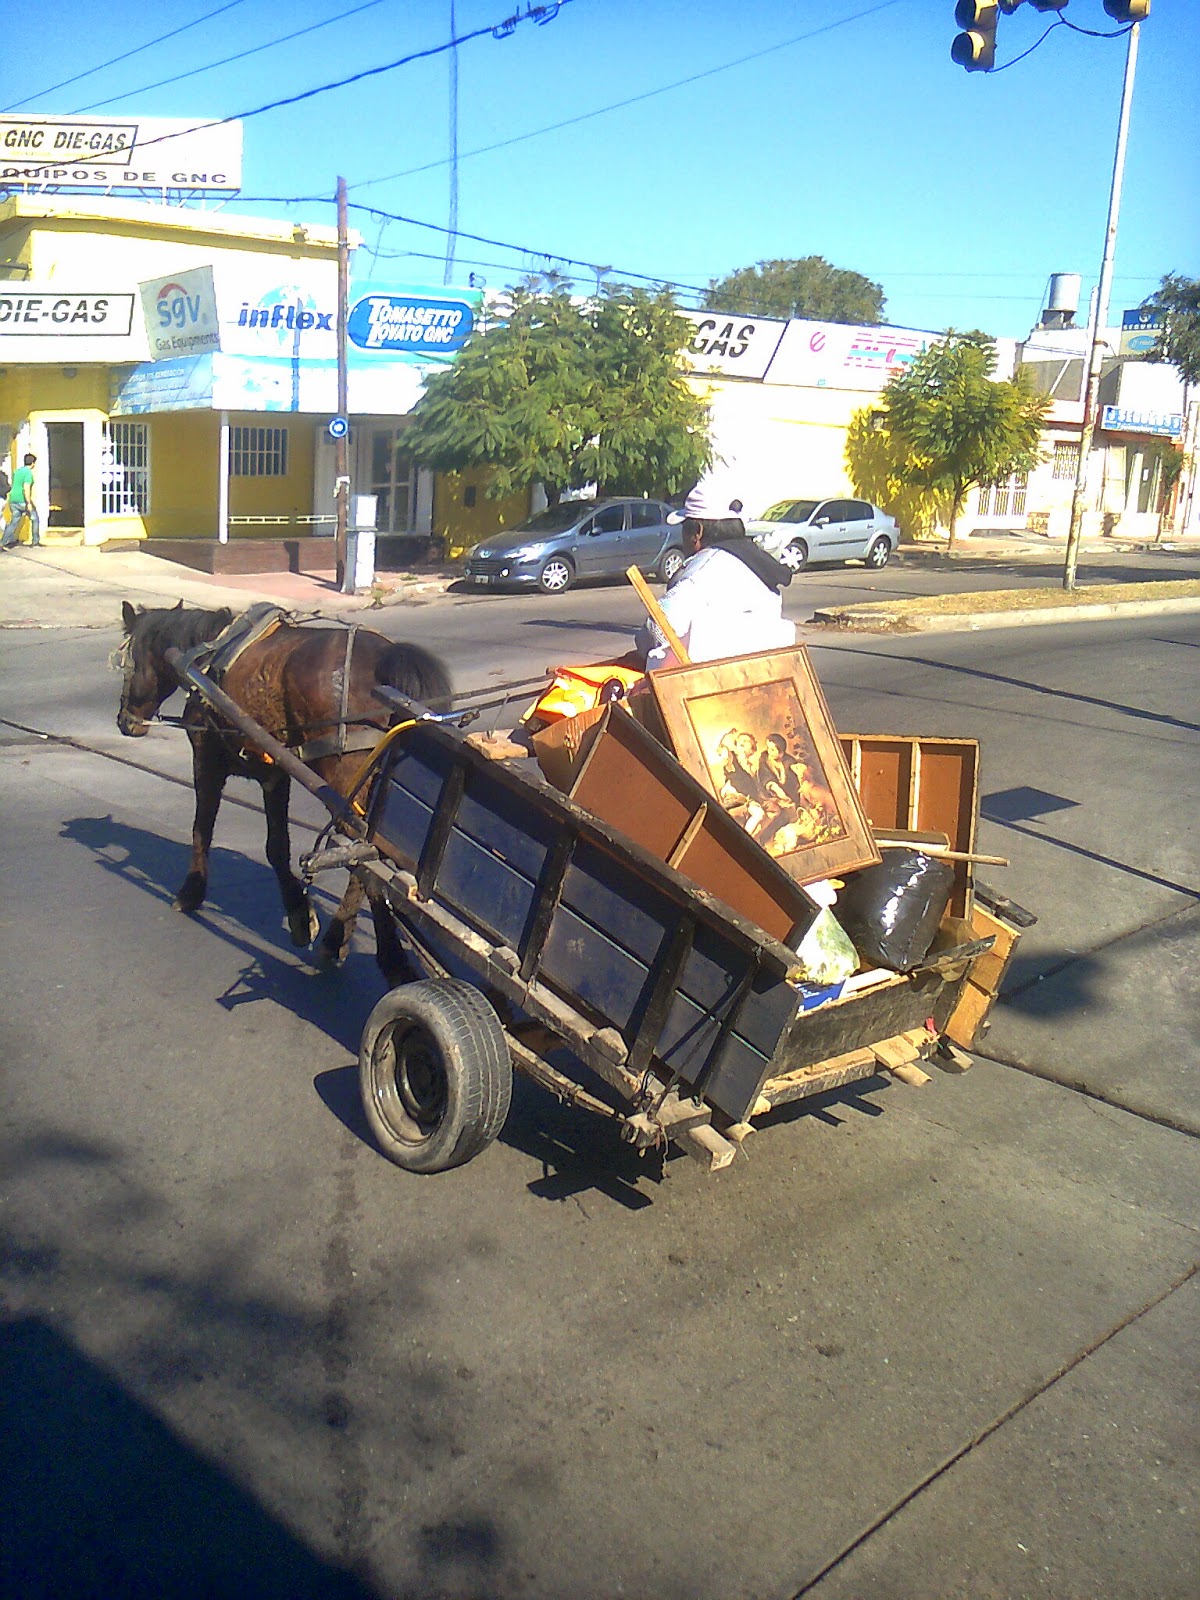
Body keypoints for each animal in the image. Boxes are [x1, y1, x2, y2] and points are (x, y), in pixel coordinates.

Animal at [115, 601, 454, 966]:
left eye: (128, 661)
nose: (125, 721)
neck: (207, 654)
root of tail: (387, 659)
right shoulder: (273, 773)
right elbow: (276, 846)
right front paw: (298, 914)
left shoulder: (207, 759)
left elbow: (202, 828)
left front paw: (191, 891)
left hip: (345, 782)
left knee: (363, 857)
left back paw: (362, 948)